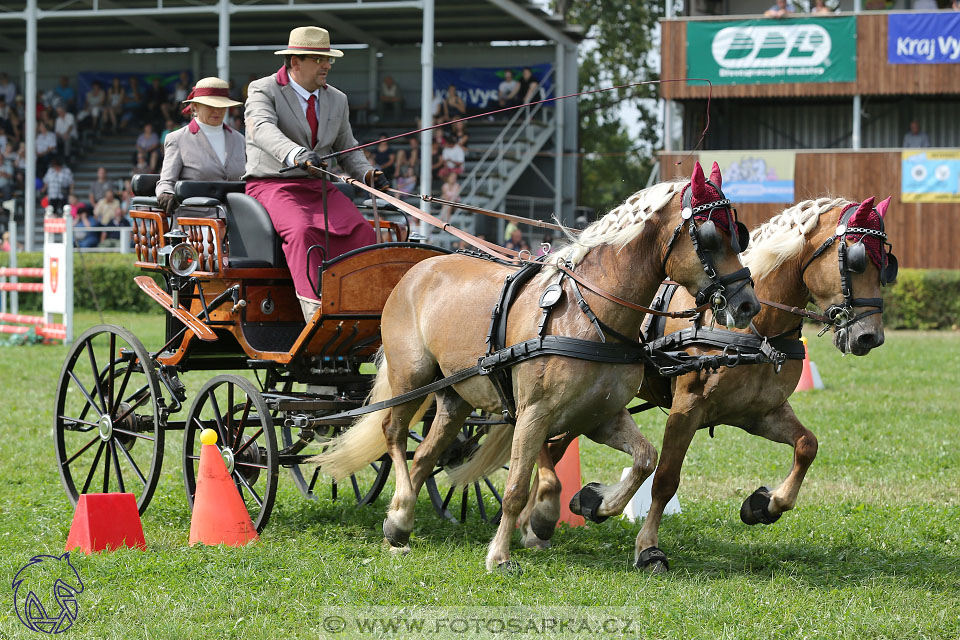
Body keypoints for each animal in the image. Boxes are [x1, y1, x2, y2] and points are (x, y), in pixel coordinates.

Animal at [312, 162, 760, 572]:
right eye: (710, 236)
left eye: (738, 233)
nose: (747, 305)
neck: (592, 314)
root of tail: (417, 269)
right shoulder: (533, 414)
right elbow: (515, 487)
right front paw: (500, 554)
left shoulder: (601, 415)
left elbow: (645, 460)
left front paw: (596, 503)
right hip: (412, 377)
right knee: (393, 432)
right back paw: (402, 510)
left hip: (455, 398)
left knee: (424, 454)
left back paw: (399, 524)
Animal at [488, 195, 900, 568]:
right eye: (857, 261)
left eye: (886, 267)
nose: (870, 337)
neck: (754, 327)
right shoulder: (686, 409)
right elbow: (666, 478)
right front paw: (647, 548)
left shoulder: (759, 413)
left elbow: (806, 445)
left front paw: (764, 505)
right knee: (541, 440)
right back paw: (538, 516)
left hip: (588, 403)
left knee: (551, 445)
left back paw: (535, 522)